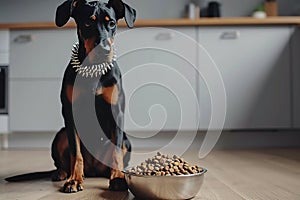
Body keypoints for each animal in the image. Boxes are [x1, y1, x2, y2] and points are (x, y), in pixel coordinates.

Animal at [5, 0, 136, 193]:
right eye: (87, 23)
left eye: (112, 23)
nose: (104, 50)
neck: (93, 69)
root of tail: (93, 170)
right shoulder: (70, 113)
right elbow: (76, 152)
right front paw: (74, 180)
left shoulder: (116, 112)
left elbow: (116, 151)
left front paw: (118, 178)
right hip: (60, 135)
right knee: (64, 162)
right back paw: (62, 173)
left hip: (126, 140)